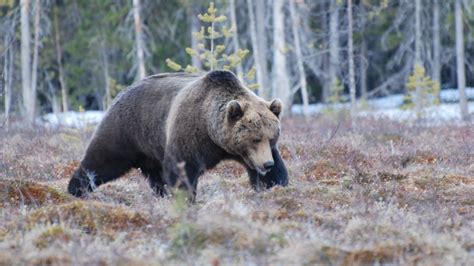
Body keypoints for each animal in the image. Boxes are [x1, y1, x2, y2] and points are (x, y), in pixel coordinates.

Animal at [68, 69, 286, 198]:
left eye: (271, 137)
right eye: (255, 138)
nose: (266, 164)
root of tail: (124, 90)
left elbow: (275, 173)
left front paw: (274, 186)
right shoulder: (191, 133)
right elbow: (182, 168)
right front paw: (184, 197)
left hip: (151, 146)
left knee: (156, 175)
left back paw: (161, 193)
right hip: (125, 130)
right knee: (102, 160)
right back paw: (76, 188)